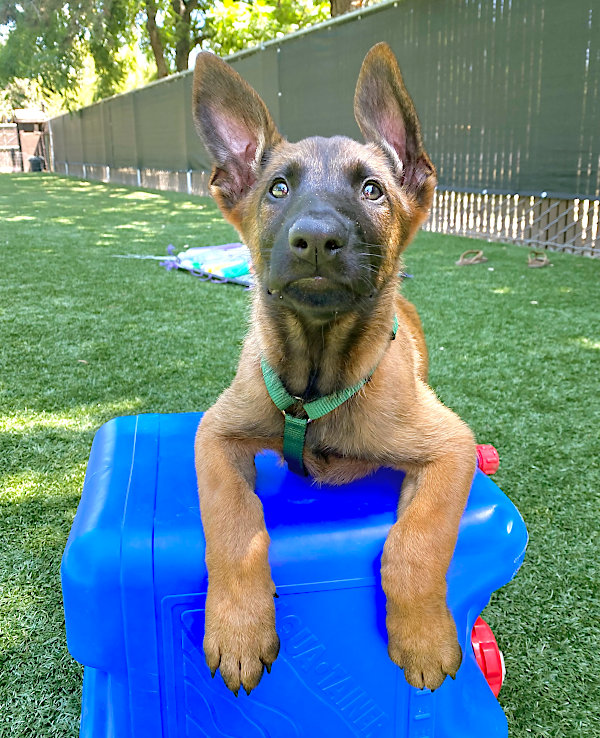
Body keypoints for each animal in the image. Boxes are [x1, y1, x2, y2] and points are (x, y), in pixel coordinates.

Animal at [191, 41, 474, 696]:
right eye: (276, 189)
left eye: (372, 190)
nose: (317, 239)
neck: (317, 381)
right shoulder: (215, 433)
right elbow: (233, 524)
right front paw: (239, 629)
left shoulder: (452, 446)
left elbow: (416, 545)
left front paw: (423, 638)